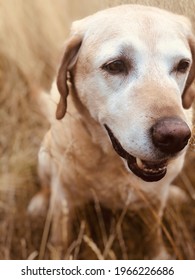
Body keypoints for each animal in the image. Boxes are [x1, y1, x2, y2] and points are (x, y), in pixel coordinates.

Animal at [28, 3, 195, 258]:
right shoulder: (64, 198)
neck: (114, 164)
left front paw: (159, 255)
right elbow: (59, 240)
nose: (175, 137)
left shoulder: (154, 200)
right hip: (45, 157)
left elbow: (153, 233)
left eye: (183, 65)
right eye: (116, 65)